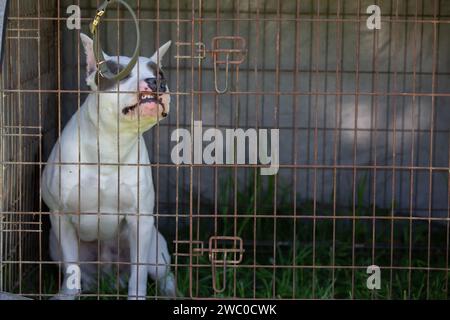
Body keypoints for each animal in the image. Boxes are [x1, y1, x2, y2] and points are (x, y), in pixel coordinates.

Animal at [41, 33, 176, 298]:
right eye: (121, 72)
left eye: (161, 74)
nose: (157, 82)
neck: (111, 144)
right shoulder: (60, 217)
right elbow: (71, 267)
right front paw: (67, 295)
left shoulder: (140, 221)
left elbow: (139, 274)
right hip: (54, 244)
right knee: (79, 269)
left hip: (156, 247)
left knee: (163, 274)